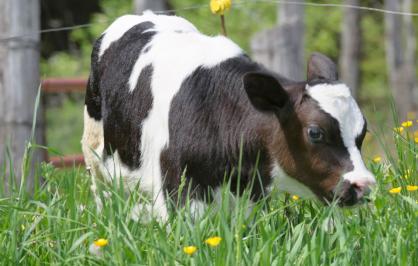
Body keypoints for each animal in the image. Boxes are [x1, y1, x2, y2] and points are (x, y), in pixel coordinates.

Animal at [81, 11, 376, 220]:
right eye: (315, 132)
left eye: (362, 132)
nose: (363, 184)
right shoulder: (176, 194)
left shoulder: (251, 198)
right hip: (94, 150)